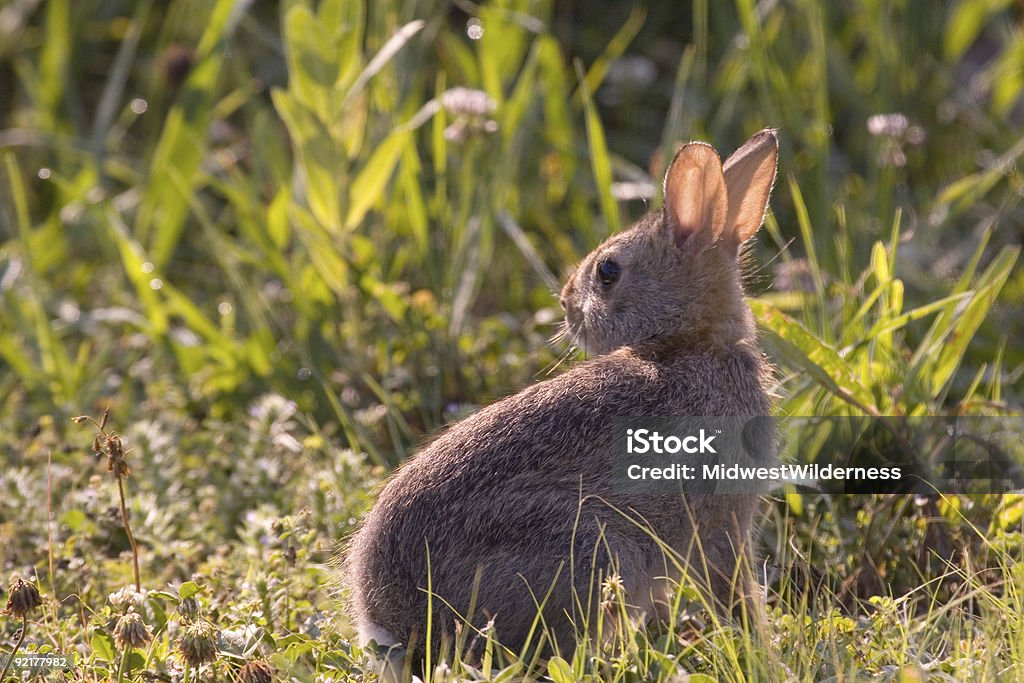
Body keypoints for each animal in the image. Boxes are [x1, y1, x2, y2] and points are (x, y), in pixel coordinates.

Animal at [348, 127, 778, 667]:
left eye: (607, 272)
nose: (566, 303)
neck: (691, 345)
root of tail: (393, 622)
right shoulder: (720, 523)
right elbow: (730, 589)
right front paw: (760, 649)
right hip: (592, 549)